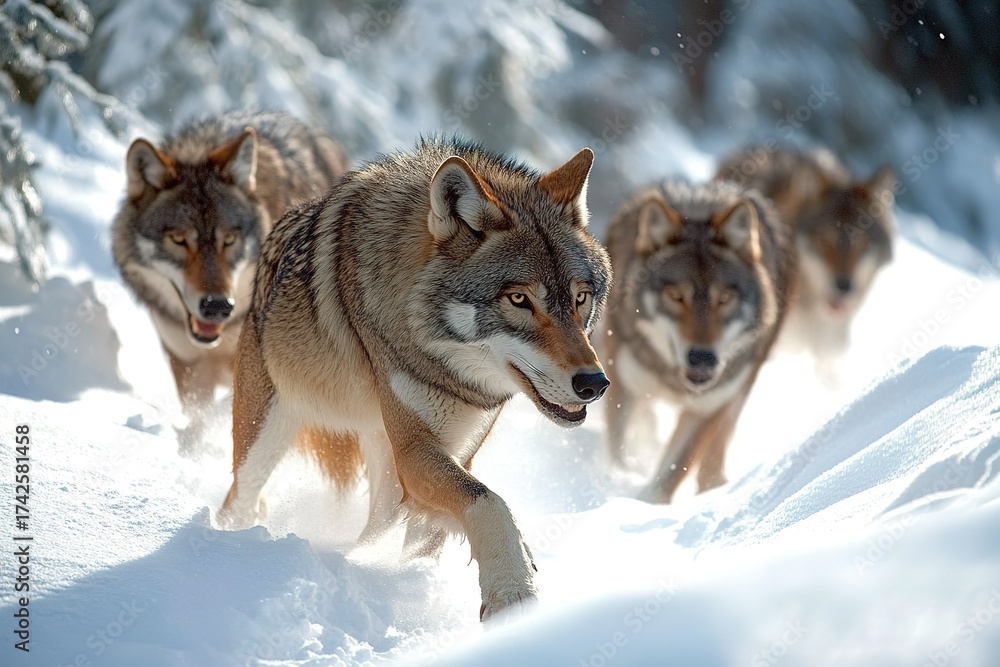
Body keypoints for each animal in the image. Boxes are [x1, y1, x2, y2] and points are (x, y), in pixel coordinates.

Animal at [214, 138, 612, 620]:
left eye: (580, 298)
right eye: (519, 299)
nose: (594, 384)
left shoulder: (457, 450)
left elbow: (441, 530)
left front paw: (417, 584)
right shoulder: (416, 448)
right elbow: (492, 503)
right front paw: (513, 592)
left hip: (384, 467)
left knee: (378, 522)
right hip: (266, 440)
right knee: (239, 499)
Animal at [603, 179, 795, 503]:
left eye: (725, 298)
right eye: (676, 296)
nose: (703, 358)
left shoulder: (706, 409)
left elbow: (672, 472)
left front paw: (647, 504)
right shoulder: (624, 385)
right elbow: (619, 448)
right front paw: (619, 478)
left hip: (737, 393)